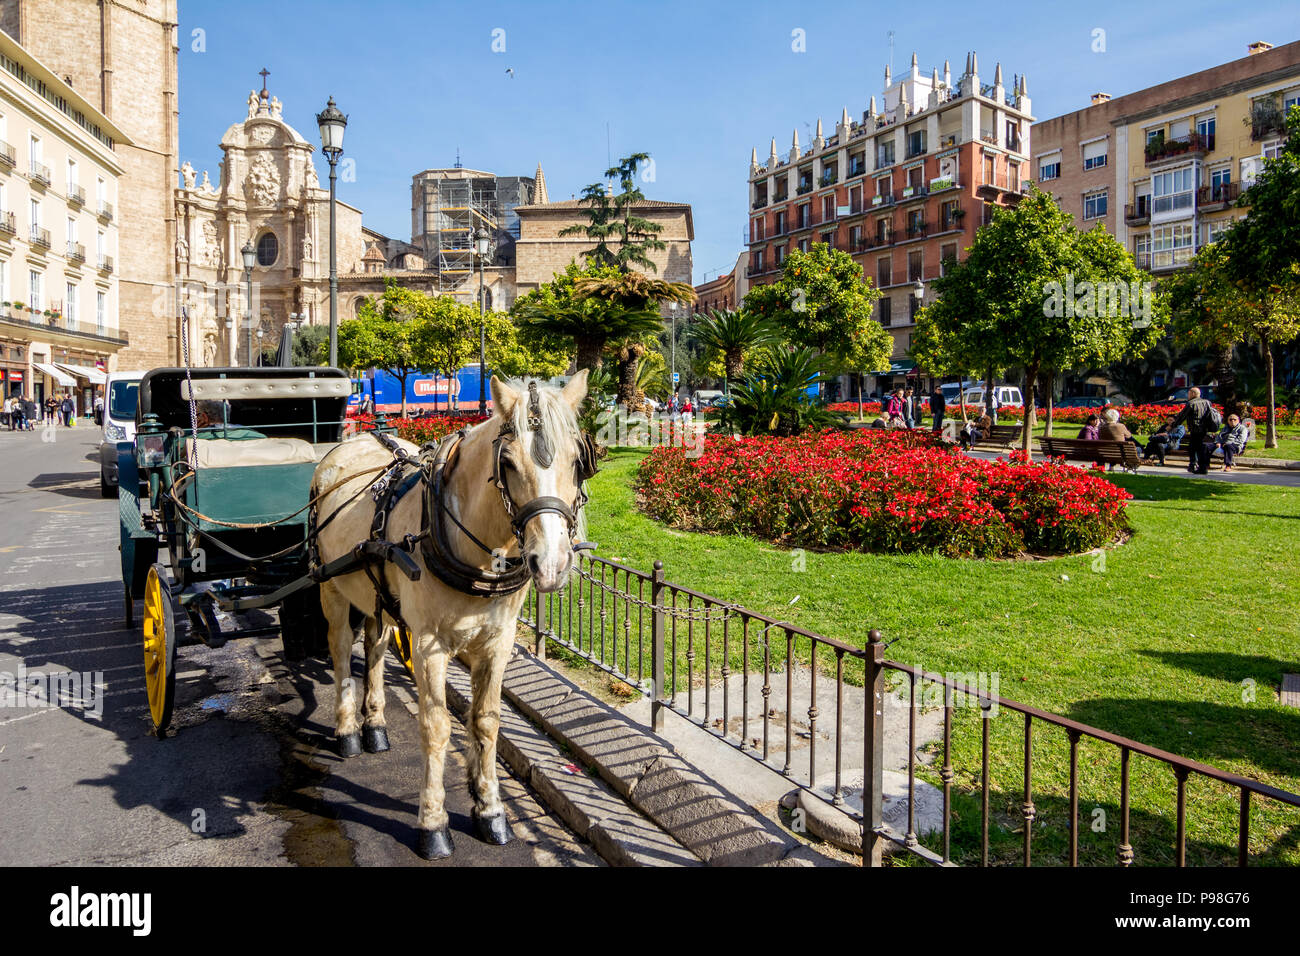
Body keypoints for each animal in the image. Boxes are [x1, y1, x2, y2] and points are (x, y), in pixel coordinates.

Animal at [309, 371, 590, 858]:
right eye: (508, 464)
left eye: (577, 461)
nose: (552, 564)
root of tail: (353, 439)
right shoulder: (429, 646)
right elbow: (437, 726)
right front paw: (434, 821)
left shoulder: (497, 641)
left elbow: (487, 721)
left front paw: (490, 808)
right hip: (331, 584)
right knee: (342, 650)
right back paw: (347, 730)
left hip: (378, 593)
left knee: (375, 645)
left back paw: (374, 723)